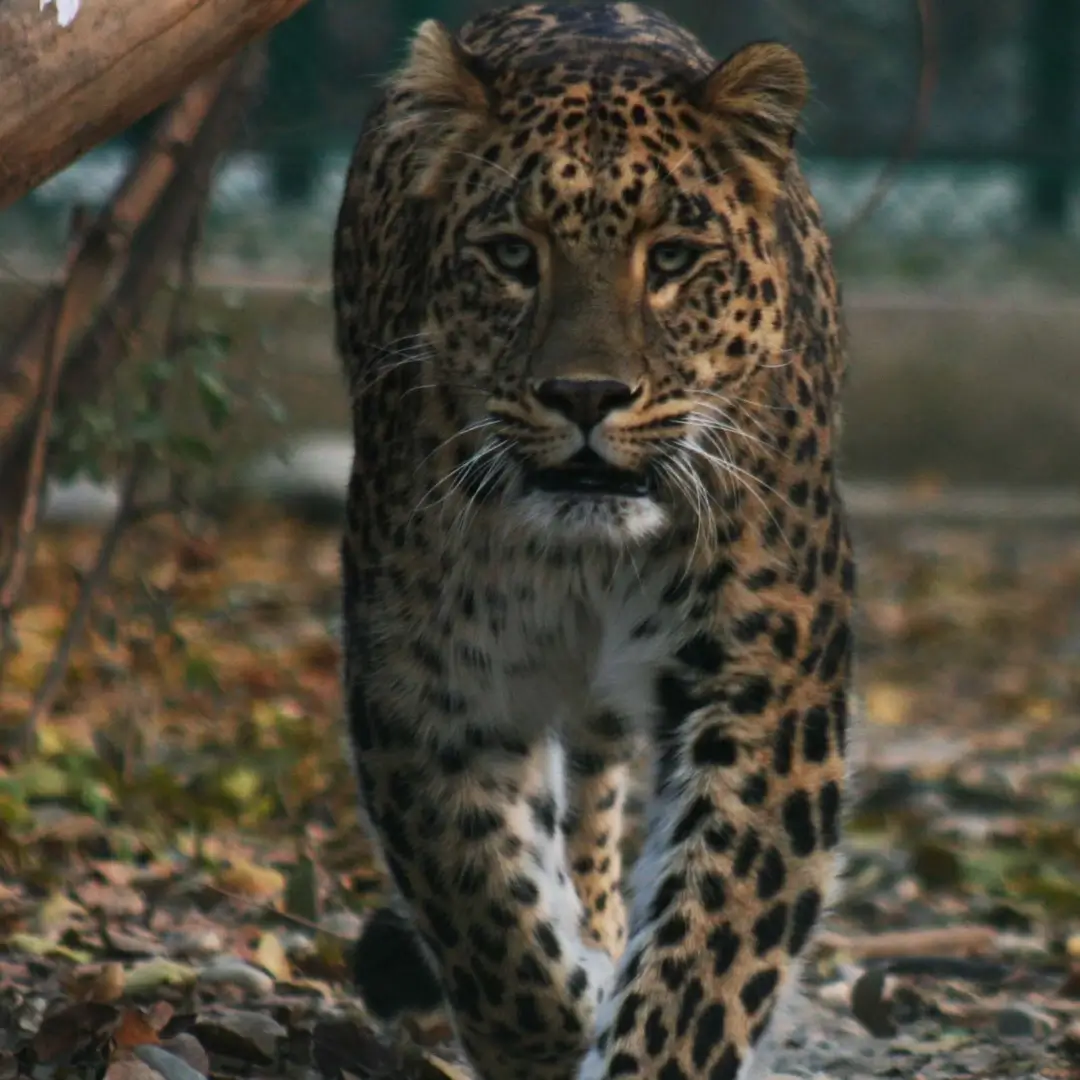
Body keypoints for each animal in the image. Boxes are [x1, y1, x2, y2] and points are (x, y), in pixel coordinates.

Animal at [332, 2, 855, 1080]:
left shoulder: (768, 693)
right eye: (512, 255)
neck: (585, 560)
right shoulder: (428, 685)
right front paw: (554, 1029)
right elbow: (487, 917)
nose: (584, 396)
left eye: (673, 260)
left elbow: (704, 957)